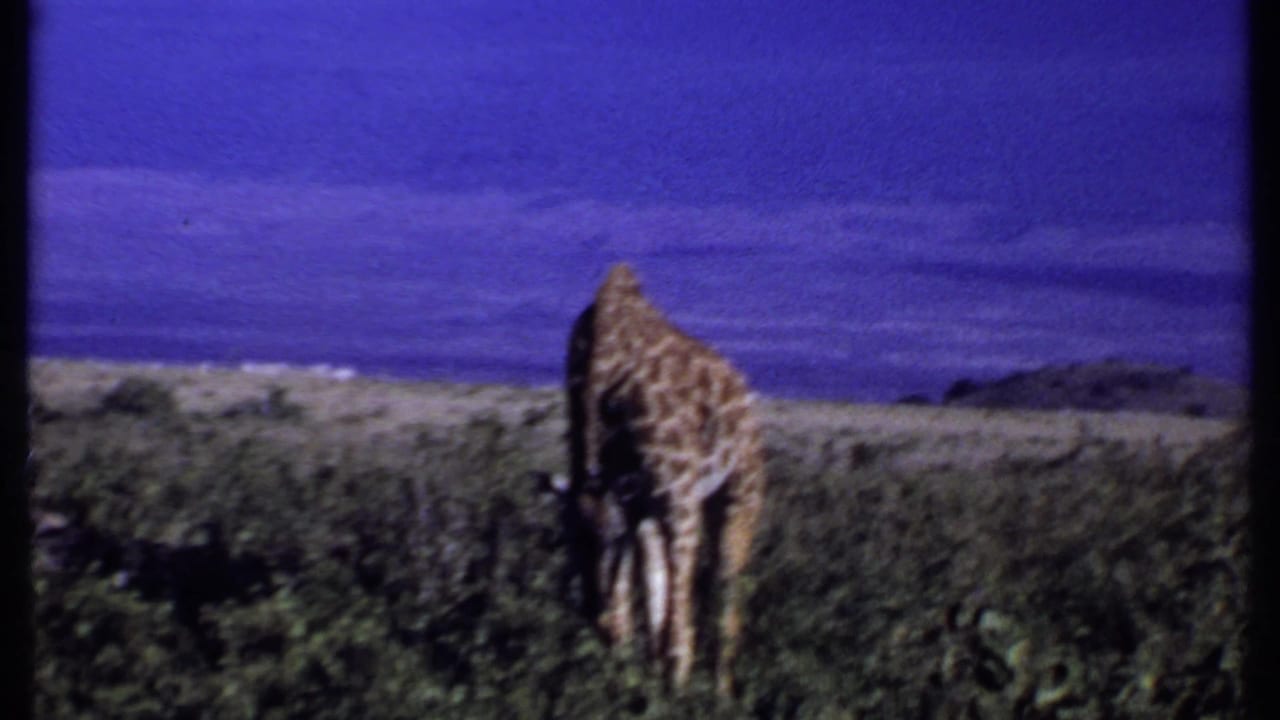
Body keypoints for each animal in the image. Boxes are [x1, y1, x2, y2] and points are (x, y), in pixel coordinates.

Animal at [555, 262, 766, 696]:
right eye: (568, 541)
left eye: (607, 540)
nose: (590, 610)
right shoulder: (632, 503)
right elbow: (641, 610)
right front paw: (633, 684)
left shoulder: (676, 499)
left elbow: (677, 629)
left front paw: (674, 692)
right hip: (662, 505)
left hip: (741, 488)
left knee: (726, 589)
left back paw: (721, 695)